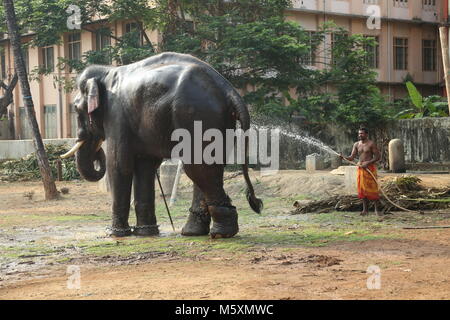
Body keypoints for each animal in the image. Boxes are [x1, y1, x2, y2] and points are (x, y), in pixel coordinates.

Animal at [61, 52, 262, 238]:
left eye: (76, 109)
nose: (94, 147)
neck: (107, 72)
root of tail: (228, 89)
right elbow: (144, 166)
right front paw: (145, 232)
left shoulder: (116, 115)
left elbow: (119, 165)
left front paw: (115, 234)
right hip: (221, 121)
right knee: (209, 167)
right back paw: (193, 232)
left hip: (197, 115)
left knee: (198, 167)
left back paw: (221, 233)